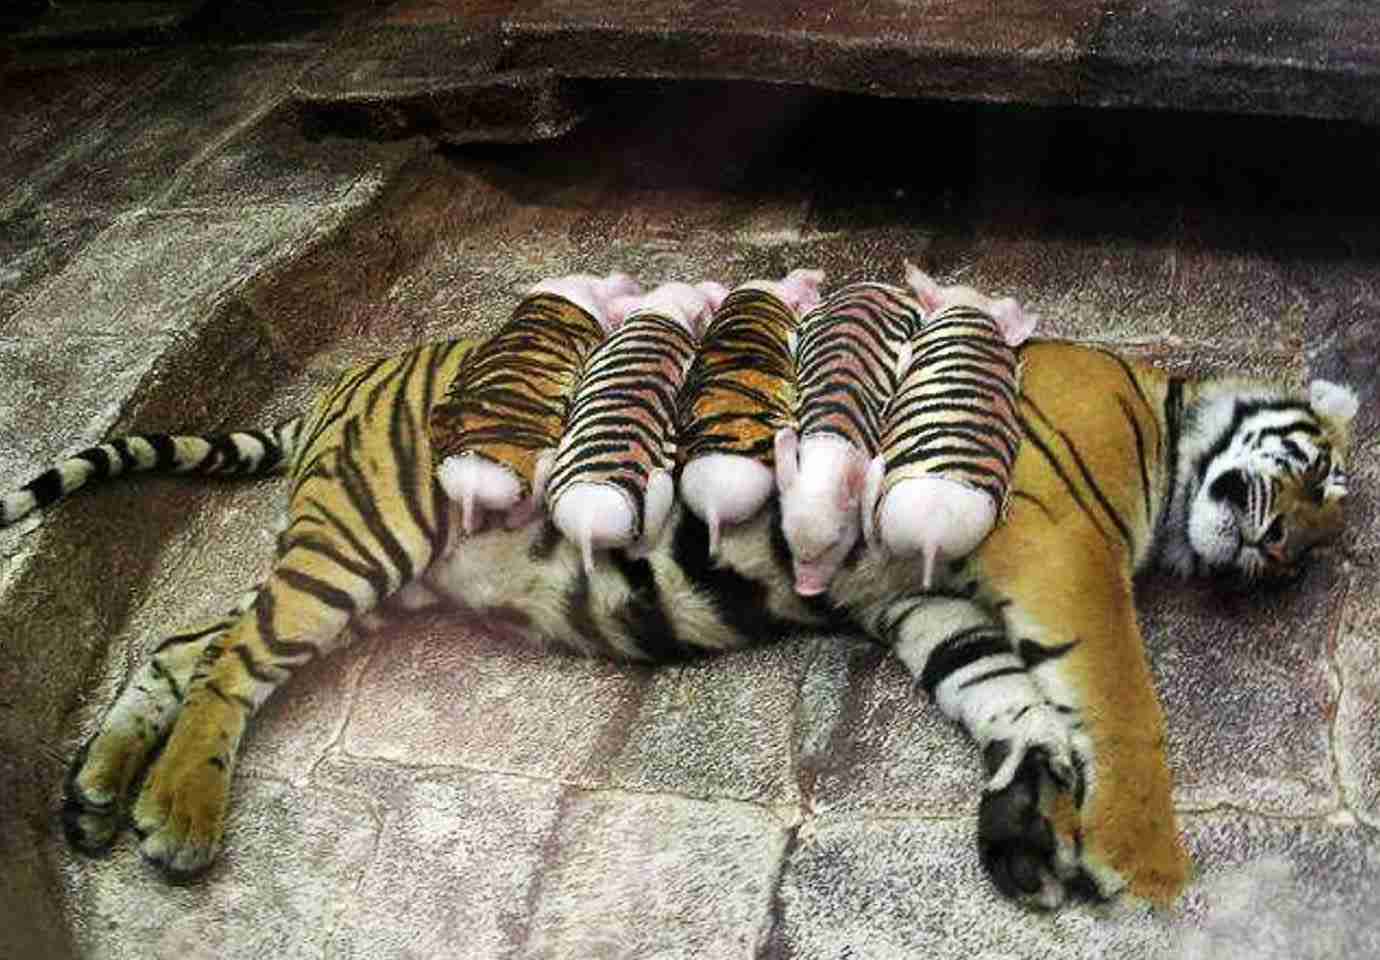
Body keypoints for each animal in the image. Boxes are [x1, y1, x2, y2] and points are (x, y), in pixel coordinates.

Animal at [1, 332, 1358, 909]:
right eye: (1323, 483)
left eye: (1310, 552)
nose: (1279, 554)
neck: (1168, 431)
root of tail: (355, 376)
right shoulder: (1060, 550)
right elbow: (1119, 696)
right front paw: (1140, 858)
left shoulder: (922, 599)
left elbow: (1009, 700)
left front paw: (1028, 831)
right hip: (368, 534)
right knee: (232, 661)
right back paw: (176, 818)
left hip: (370, 574)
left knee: (188, 645)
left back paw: (101, 791)